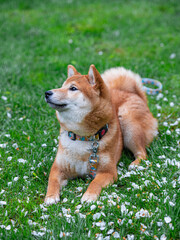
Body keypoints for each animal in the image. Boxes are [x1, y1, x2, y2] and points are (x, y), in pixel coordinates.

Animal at [44, 65, 158, 204]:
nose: (47, 93)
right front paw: (50, 197)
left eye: (73, 88)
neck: (83, 137)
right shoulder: (58, 167)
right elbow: (52, 181)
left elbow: (95, 182)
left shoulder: (107, 171)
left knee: (142, 153)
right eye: (61, 86)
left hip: (127, 121)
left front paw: (89, 196)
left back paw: (135, 164)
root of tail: (135, 94)